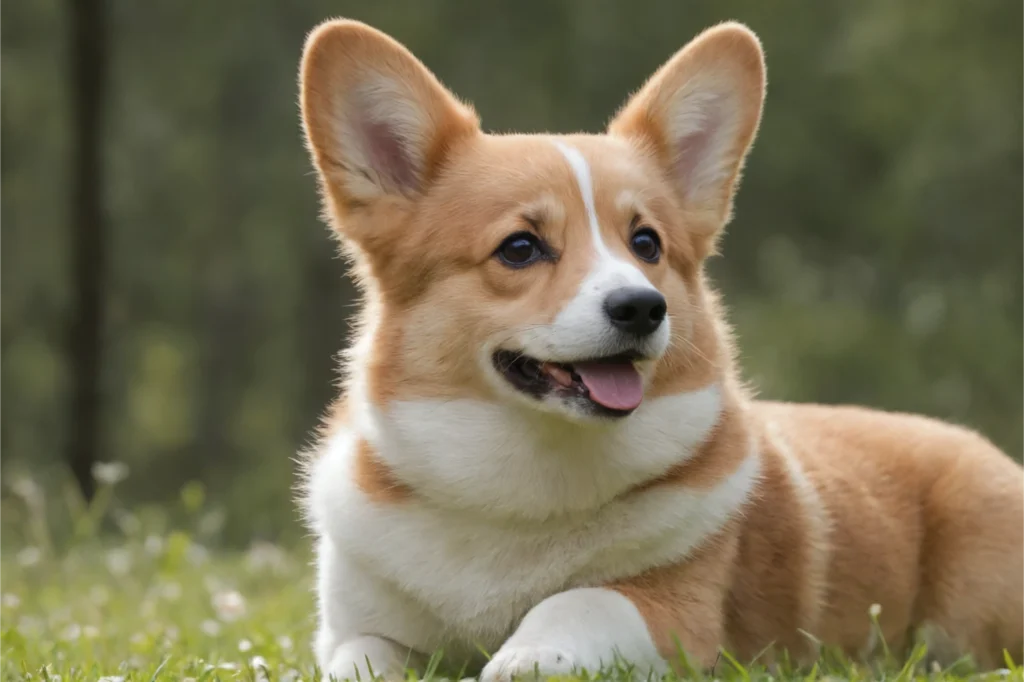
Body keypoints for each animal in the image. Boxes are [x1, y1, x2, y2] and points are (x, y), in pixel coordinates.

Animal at [294, 17, 1024, 679]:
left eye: (646, 243)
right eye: (520, 248)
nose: (642, 307)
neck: (526, 485)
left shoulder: (677, 612)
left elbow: (580, 601)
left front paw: (522, 657)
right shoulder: (354, 631)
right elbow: (361, 660)